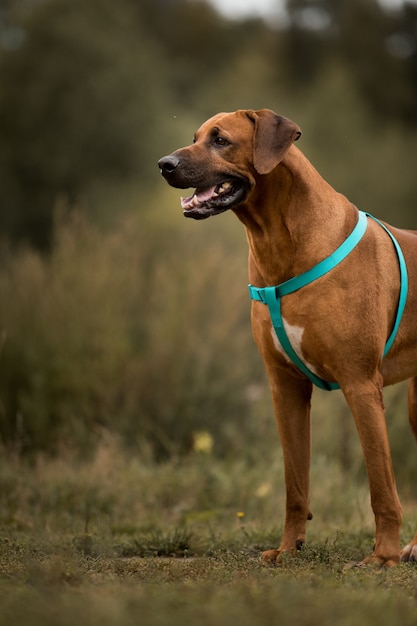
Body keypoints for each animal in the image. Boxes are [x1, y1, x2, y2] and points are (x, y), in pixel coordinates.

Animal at [157, 108, 416, 564]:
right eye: (196, 137)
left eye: (221, 140)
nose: (164, 164)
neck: (281, 243)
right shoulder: (285, 388)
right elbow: (295, 485)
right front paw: (288, 548)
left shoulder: (361, 384)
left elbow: (381, 484)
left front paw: (383, 555)